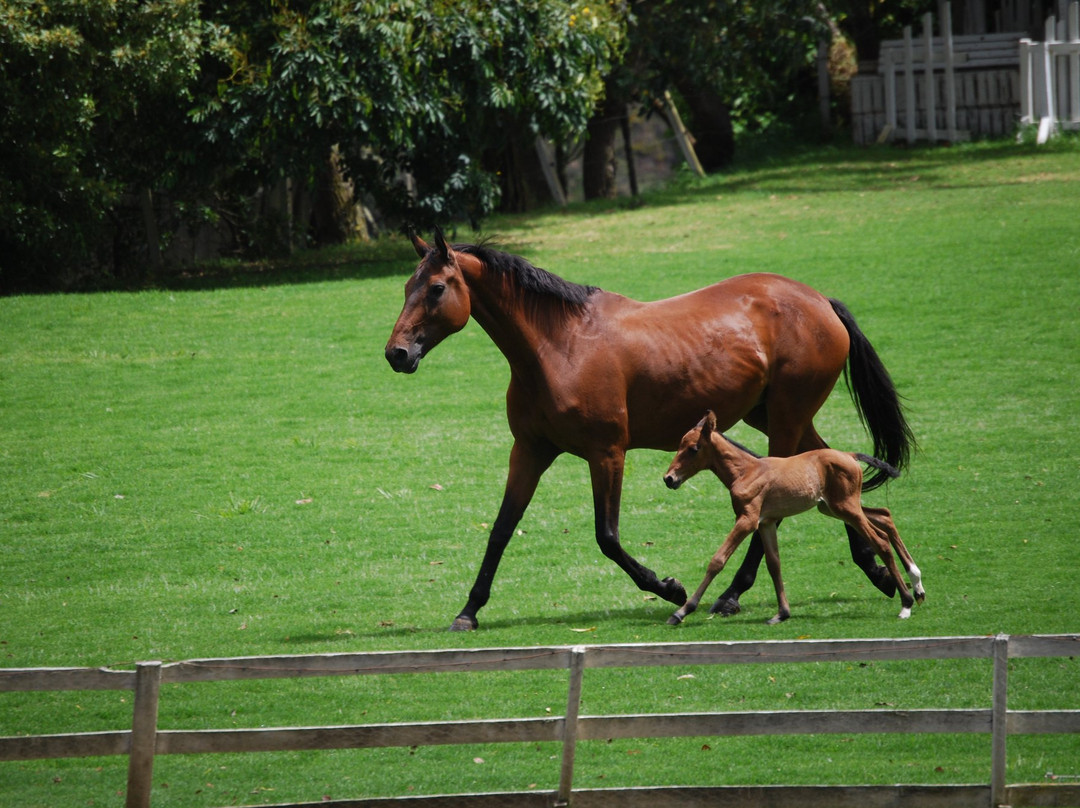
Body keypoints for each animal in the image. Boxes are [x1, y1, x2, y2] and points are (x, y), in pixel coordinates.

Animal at [660, 410, 924, 626]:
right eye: (680, 445)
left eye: (693, 449)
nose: (669, 479)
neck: (746, 471)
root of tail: (849, 454)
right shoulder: (766, 523)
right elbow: (774, 564)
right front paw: (782, 613)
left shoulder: (747, 520)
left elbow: (717, 560)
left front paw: (681, 612)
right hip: (833, 507)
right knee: (885, 516)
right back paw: (917, 585)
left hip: (846, 508)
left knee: (880, 541)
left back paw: (907, 603)